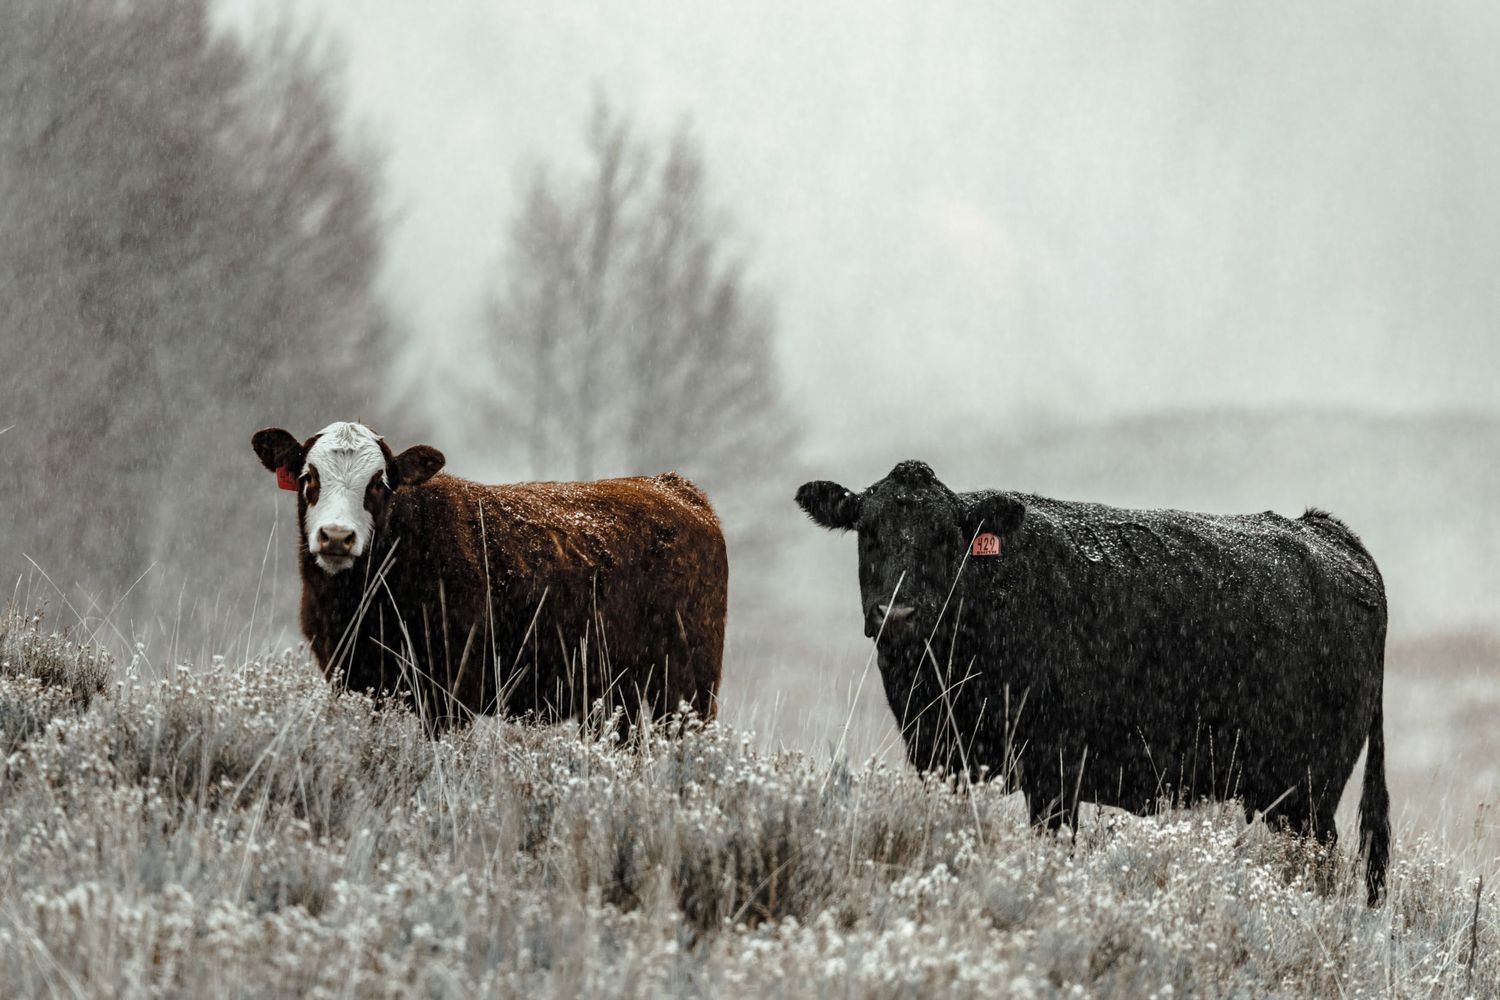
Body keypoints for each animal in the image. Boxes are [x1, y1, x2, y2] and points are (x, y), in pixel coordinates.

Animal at [251, 421, 727, 735]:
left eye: (379, 485)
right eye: (308, 478)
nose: (336, 536)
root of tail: (672, 487)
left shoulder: (449, 692)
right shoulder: (352, 679)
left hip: (688, 685)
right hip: (615, 691)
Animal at [796, 459, 1390, 905]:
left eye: (947, 539)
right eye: (867, 533)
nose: (898, 613)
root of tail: (1321, 529)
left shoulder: (1056, 770)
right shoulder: (939, 758)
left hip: (1309, 792)